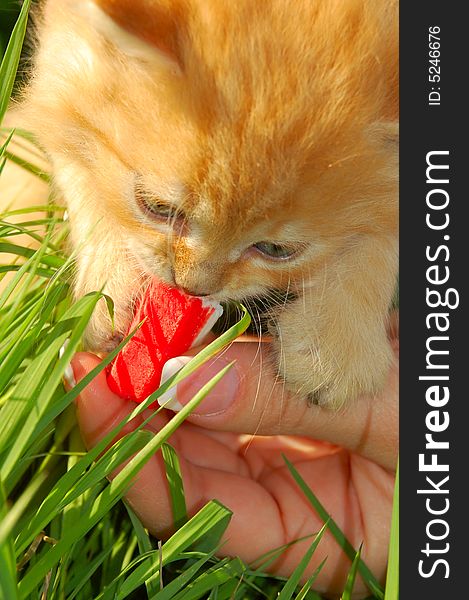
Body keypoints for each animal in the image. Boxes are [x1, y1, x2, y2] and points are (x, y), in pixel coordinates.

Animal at [19, 0, 398, 408]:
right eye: (158, 208)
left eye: (275, 249)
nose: (191, 289)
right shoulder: (60, 55)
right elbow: (73, 154)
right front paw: (105, 288)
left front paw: (333, 348)